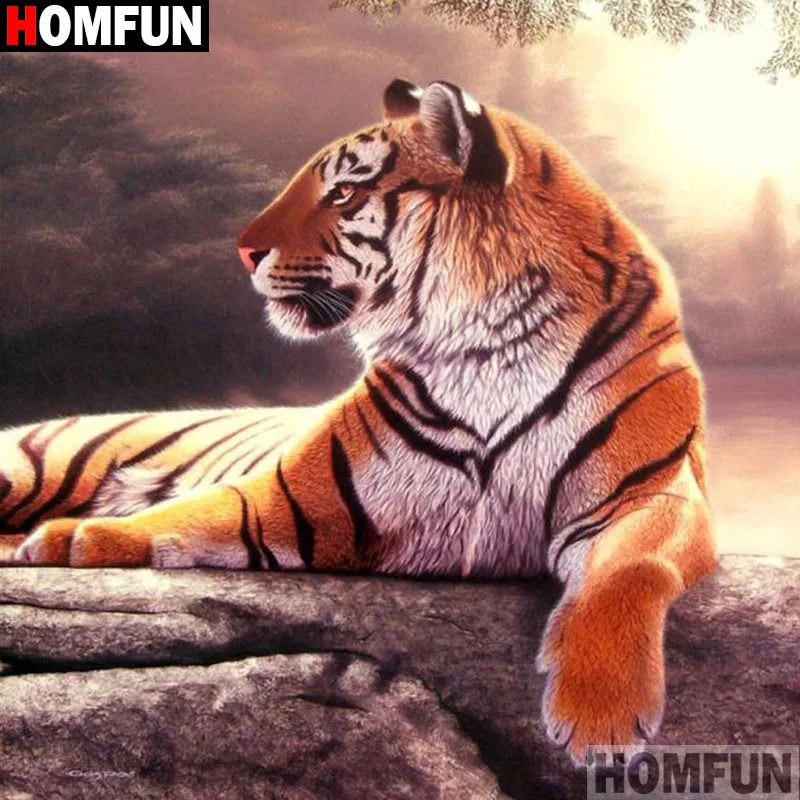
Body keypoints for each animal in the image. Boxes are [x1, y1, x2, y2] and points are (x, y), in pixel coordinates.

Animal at [0, 79, 716, 763]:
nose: (243, 252)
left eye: (343, 192)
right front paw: (68, 539)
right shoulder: (287, 498)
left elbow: (628, 571)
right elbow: (181, 516)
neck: (488, 347)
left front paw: (601, 716)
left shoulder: (652, 494)